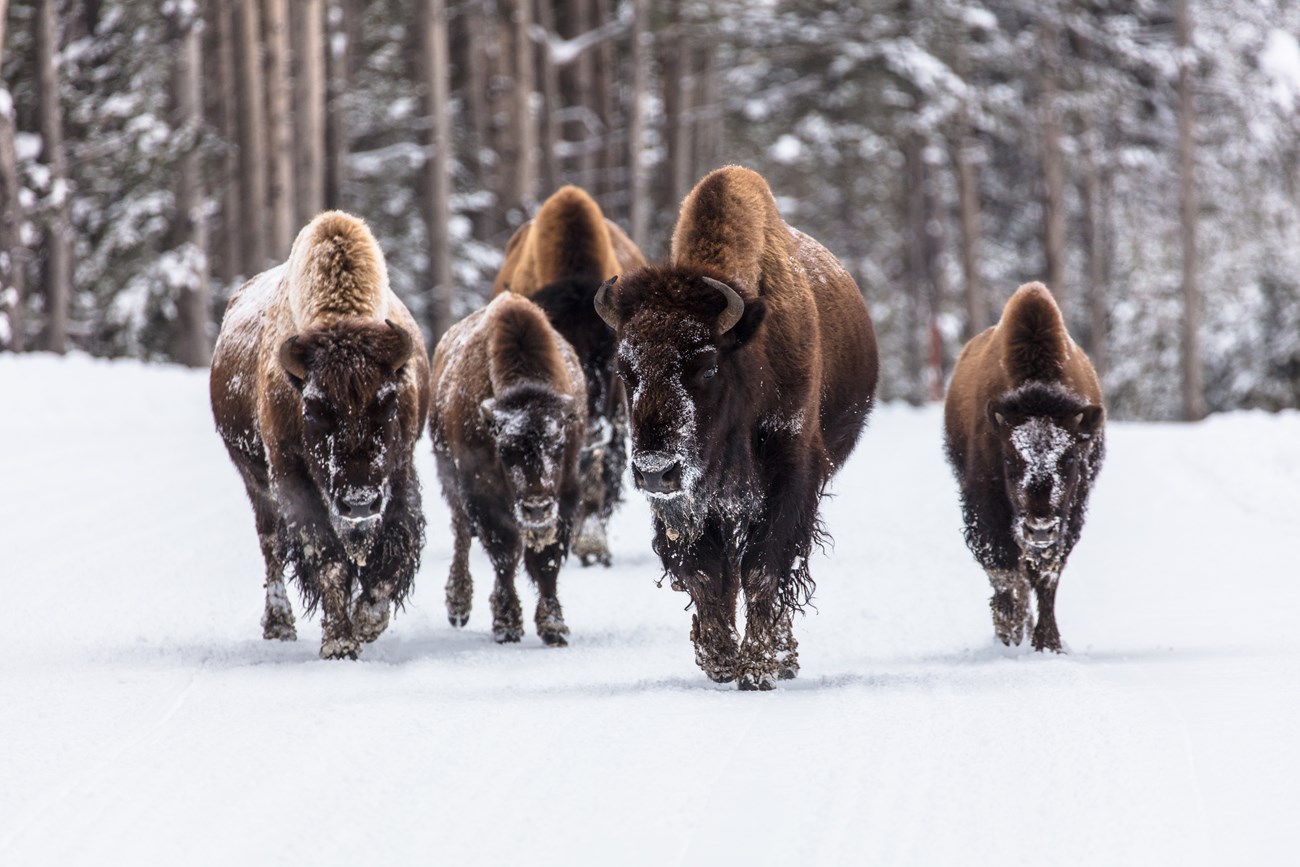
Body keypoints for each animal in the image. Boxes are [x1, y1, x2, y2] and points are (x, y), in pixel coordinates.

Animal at [210, 210, 428, 657]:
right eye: (312, 408)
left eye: (389, 402)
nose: (358, 502)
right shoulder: (293, 479)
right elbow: (327, 558)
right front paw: (341, 642)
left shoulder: (399, 472)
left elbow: (393, 551)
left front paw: (367, 622)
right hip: (256, 484)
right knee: (272, 546)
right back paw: (279, 625)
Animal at [428, 291, 587, 644]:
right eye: (506, 450)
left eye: (558, 445)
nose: (536, 508)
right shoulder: (482, 493)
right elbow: (504, 555)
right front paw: (507, 624)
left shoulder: (564, 495)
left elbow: (546, 560)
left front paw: (553, 626)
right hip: (451, 481)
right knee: (461, 534)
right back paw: (458, 606)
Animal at [595, 164, 878, 691]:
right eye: (625, 370)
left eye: (706, 365)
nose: (655, 469)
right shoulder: (687, 503)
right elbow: (707, 574)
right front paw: (720, 658)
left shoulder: (792, 475)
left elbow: (765, 568)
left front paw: (759, 667)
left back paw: (783, 657)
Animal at [946, 283, 1107, 649]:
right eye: (1009, 457)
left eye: (1071, 458)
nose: (1040, 528)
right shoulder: (985, 502)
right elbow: (1004, 567)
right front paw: (1009, 630)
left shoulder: (1071, 510)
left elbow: (1046, 575)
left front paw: (1048, 642)